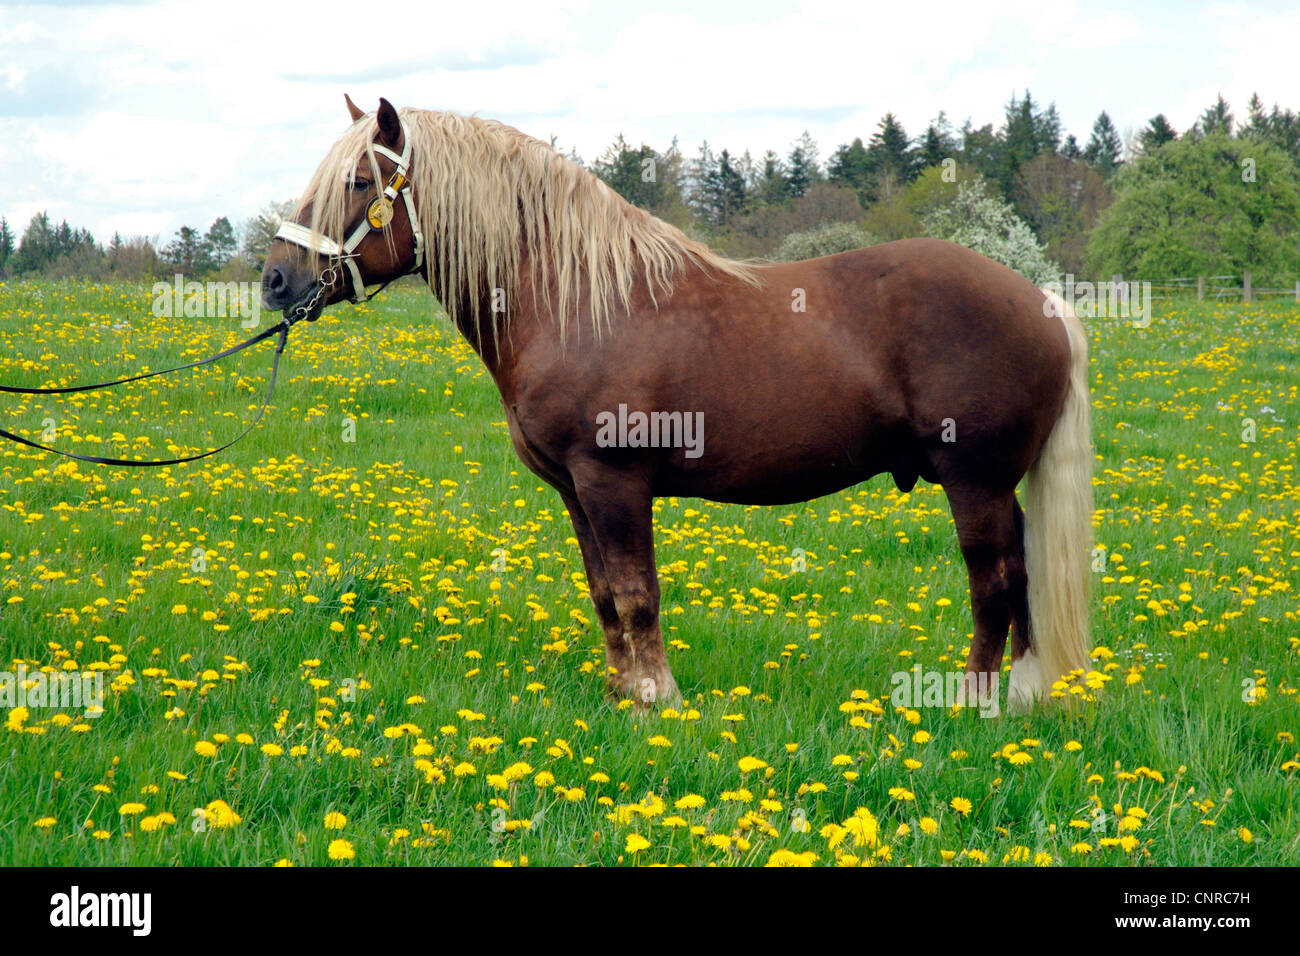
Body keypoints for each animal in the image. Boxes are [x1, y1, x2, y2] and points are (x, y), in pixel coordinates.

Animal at [258, 97, 1092, 712]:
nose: (275, 281)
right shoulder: (576, 493)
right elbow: (603, 595)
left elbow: (636, 595)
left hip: (975, 482)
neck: (573, 299)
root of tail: (1042, 301)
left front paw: (658, 699)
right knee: (1018, 575)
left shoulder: (615, 481)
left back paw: (975, 704)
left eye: (359, 182)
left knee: (994, 581)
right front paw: (623, 694)